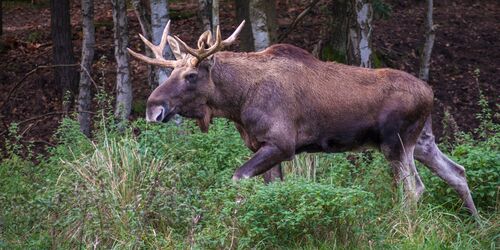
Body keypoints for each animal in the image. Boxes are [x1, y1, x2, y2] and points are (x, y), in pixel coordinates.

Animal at [128, 20, 476, 214]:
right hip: (422, 141)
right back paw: (477, 224)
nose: (152, 108)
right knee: (457, 172)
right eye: (171, 71)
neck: (237, 102)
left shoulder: (282, 144)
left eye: (190, 76)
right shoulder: (262, 146)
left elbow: (238, 179)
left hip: (396, 143)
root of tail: (431, 93)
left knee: (415, 189)